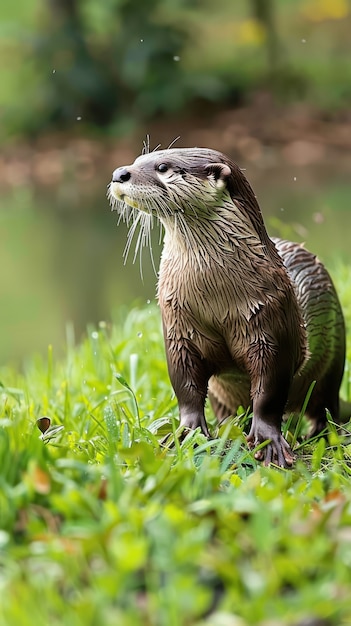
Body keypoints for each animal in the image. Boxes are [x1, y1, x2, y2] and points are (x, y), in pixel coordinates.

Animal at [108, 146, 348, 466]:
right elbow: (185, 387)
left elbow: (269, 391)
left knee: (325, 404)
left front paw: (267, 442)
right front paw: (187, 433)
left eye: (162, 166)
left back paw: (320, 432)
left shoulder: (271, 323)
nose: (119, 173)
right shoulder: (178, 328)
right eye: (137, 160)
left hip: (334, 359)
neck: (213, 299)